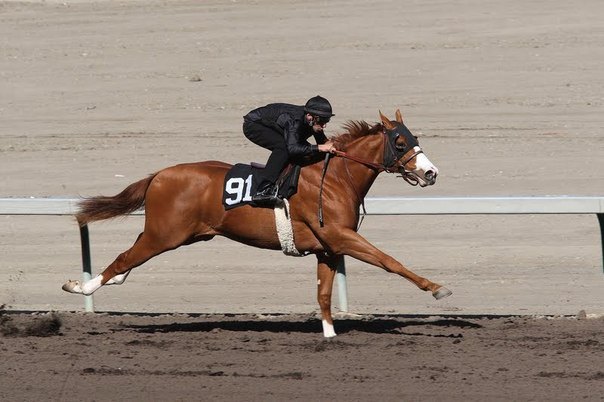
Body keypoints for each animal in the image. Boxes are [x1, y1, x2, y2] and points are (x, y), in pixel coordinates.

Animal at [63, 110, 450, 336]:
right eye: (399, 142)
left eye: (415, 139)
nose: (431, 173)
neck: (336, 177)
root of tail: (158, 175)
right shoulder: (340, 236)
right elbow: (389, 261)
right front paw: (436, 288)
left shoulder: (326, 247)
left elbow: (324, 293)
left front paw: (329, 335)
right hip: (165, 234)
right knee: (123, 260)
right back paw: (80, 287)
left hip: (175, 233)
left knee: (129, 259)